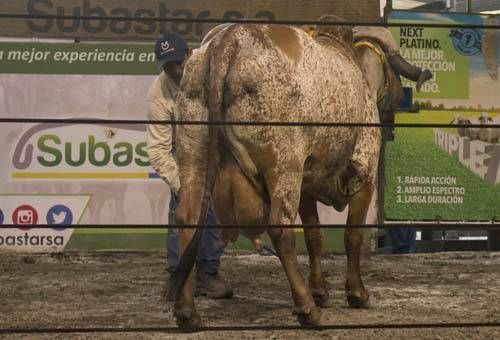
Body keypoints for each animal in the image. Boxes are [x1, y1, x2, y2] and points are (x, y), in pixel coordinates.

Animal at [167, 17, 430, 328]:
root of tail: (229, 40)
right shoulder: (363, 175)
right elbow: (352, 235)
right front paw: (356, 293)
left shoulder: (307, 184)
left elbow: (314, 237)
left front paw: (320, 290)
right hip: (284, 166)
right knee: (281, 229)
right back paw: (306, 308)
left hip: (193, 154)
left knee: (187, 219)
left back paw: (187, 312)